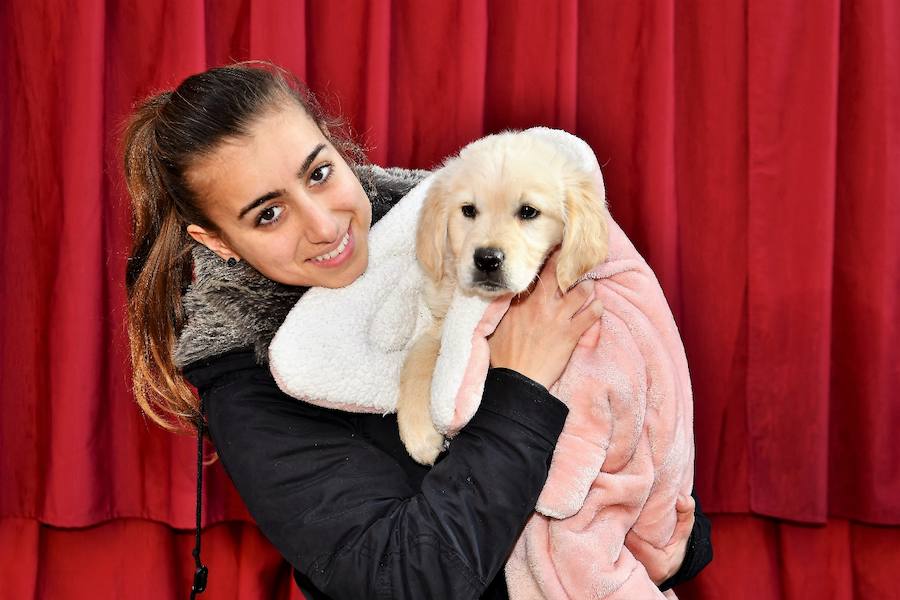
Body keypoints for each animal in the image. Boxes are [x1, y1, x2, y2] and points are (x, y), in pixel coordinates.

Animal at [398, 132, 608, 464]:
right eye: (468, 210)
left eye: (528, 212)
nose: (487, 259)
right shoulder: (444, 321)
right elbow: (419, 353)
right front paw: (419, 433)